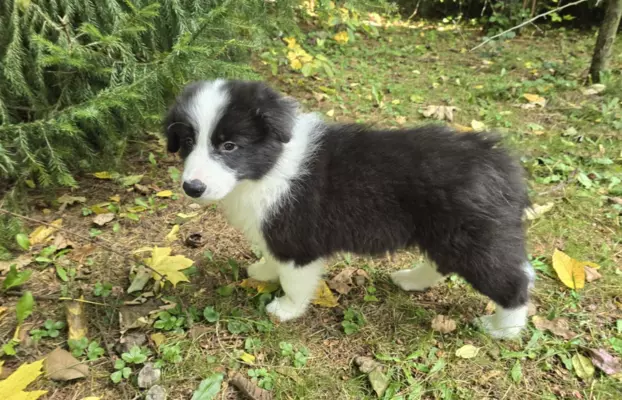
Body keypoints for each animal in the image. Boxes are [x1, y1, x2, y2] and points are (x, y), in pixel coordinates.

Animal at [165, 79, 536, 340]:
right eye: (187, 143)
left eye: (229, 146)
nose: (192, 187)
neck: (270, 166)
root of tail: (500, 163)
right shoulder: (274, 231)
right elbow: (272, 258)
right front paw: (263, 270)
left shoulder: (296, 238)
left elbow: (294, 280)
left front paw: (285, 310)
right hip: (445, 234)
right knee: (442, 264)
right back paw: (411, 280)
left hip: (473, 239)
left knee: (515, 279)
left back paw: (504, 328)